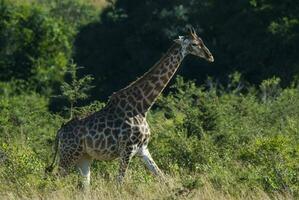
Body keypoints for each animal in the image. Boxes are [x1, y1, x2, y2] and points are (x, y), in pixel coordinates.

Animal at [45, 27, 214, 187]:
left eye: (202, 41)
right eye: (194, 44)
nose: (210, 56)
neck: (143, 106)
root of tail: (60, 132)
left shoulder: (143, 149)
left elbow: (163, 178)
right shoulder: (128, 149)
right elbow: (119, 182)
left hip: (84, 157)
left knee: (84, 186)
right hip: (69, 155)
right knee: (54, 180)